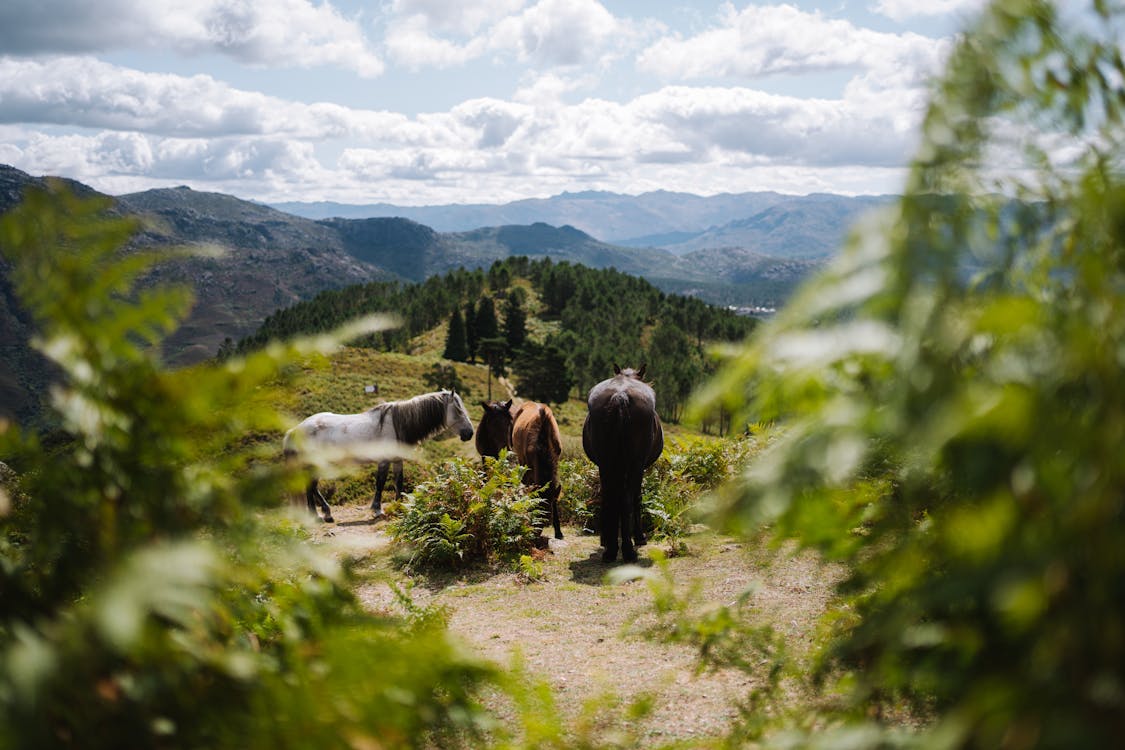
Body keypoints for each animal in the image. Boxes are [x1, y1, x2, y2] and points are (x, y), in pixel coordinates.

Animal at [285, 386, 474, 521]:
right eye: (458, 410)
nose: (469, 433)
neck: (397, 423)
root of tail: (296, 429)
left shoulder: (397, 460)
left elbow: (398, 481)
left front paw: (399, 506)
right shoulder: (384, 461)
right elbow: (380, 483)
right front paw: (377, 509)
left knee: (311, 487)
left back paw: (322, 513)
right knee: (311, 486)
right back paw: (319, 515)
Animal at [585, 364, 661, 562]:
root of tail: (620, 395)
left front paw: (606, 539)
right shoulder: (638, 467)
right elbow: (636, 497)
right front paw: (639, 537)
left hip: (607, 462)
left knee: (611, 497)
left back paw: (611, 550)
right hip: (634, 464)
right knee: (627, 499)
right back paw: (627, 549)